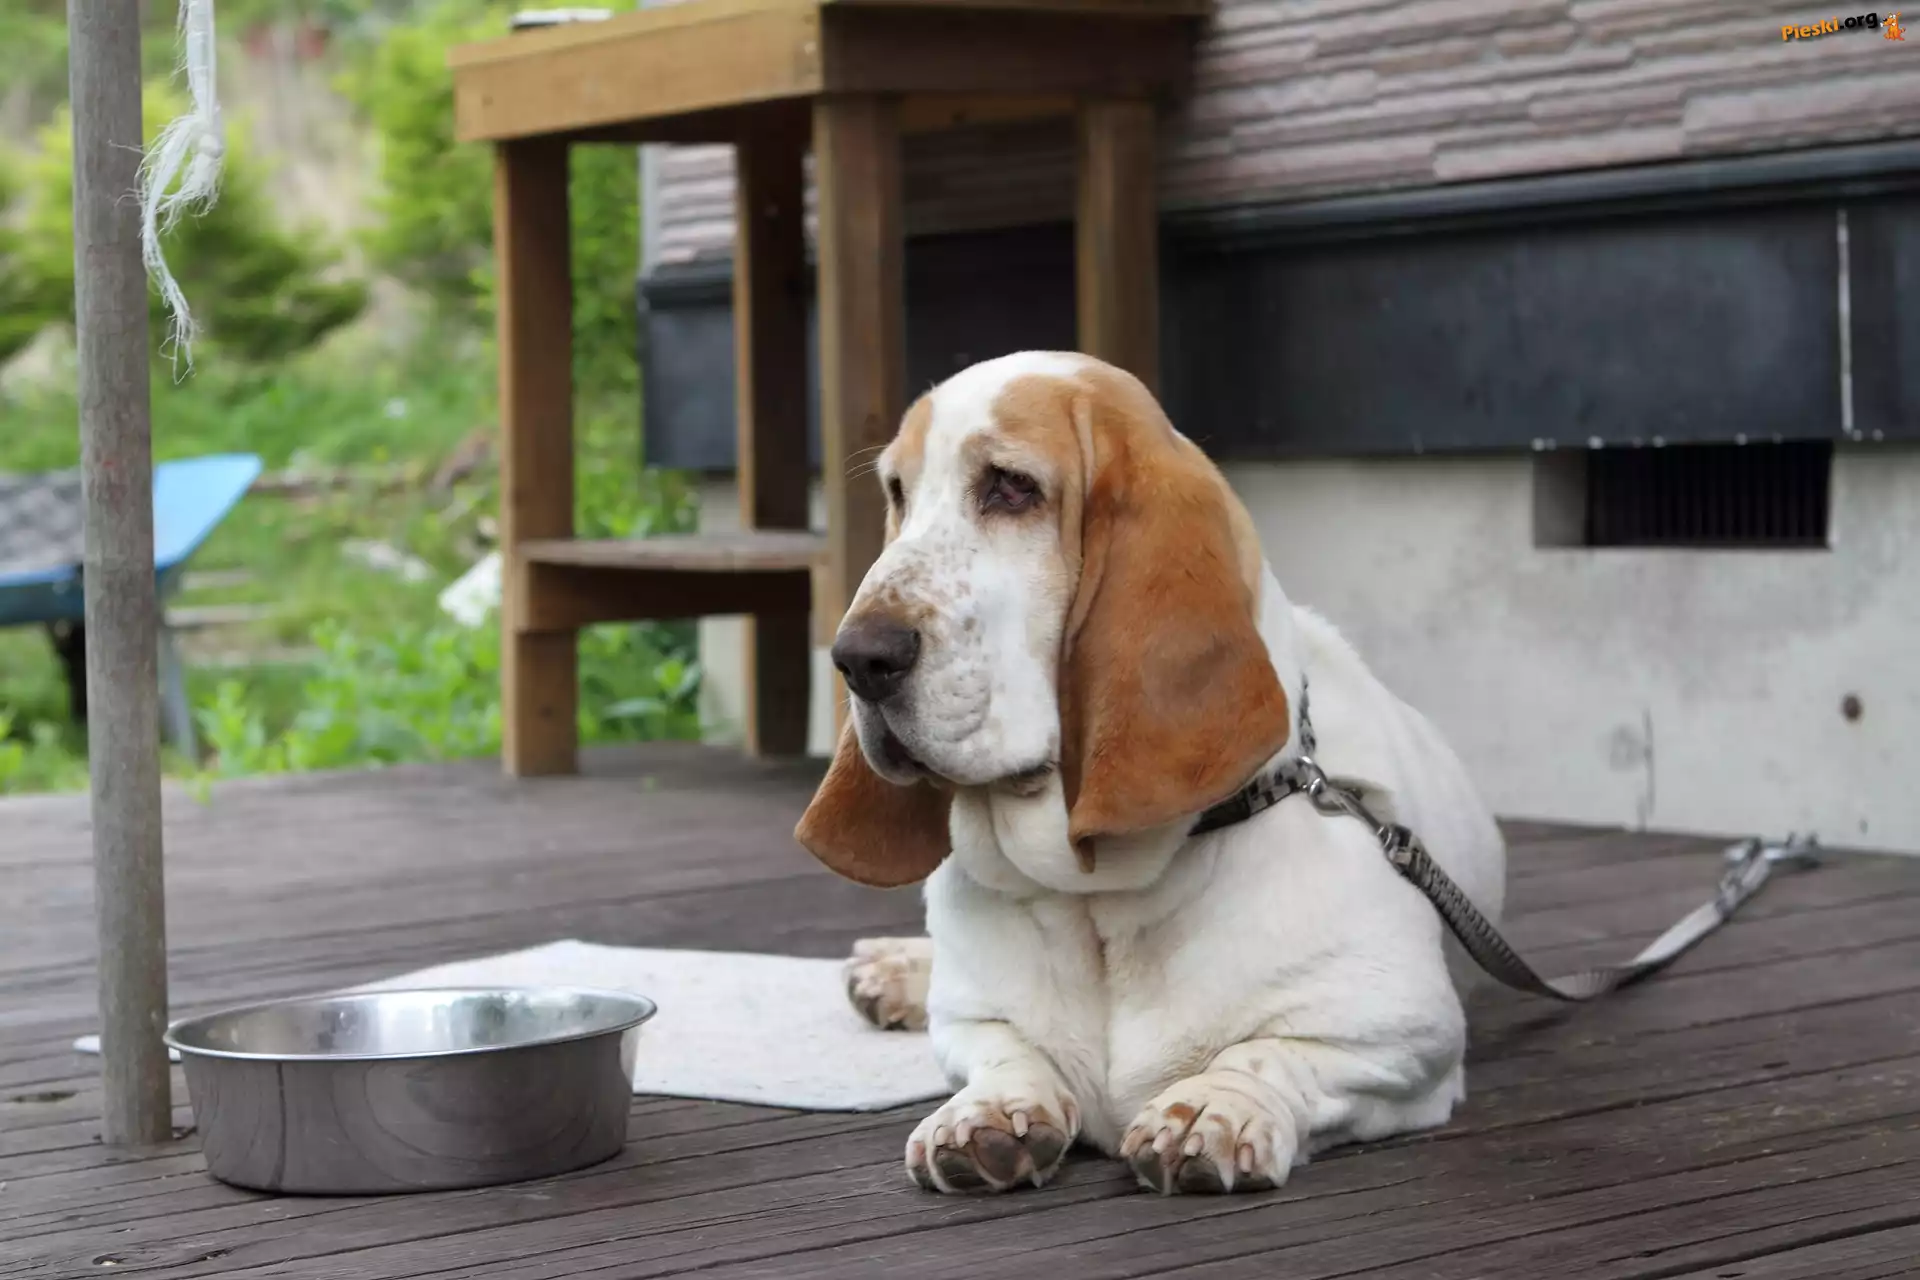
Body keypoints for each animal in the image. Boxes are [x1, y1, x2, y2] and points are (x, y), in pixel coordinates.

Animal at [795, 352, 1506, 1195]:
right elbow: (1003, 1049)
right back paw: (894, 972)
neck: (1096, 895)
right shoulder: (972, 1024)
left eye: (1011, 486)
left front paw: (1210, 1112)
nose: (857, 658)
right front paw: (989, 1113)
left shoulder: (1402, 1038)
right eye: (898, 493)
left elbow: (1267, 1055)